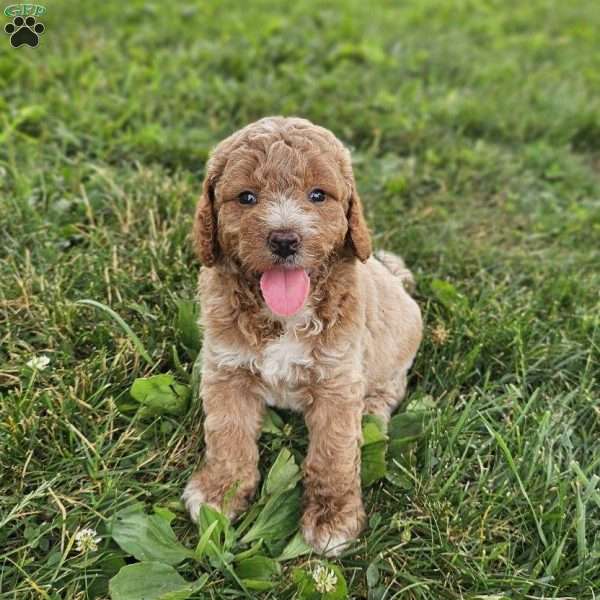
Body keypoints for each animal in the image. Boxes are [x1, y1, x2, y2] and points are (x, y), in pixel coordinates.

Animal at [183, 115, 422, 556]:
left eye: (318, 195)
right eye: (246, 197)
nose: (284, 239)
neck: (283, 317)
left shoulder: (337, 380)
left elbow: (333, 452)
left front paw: (333, 516)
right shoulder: (227, 369)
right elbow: (227, 434)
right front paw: (220, 492)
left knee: (389, 390)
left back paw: (372, 410)